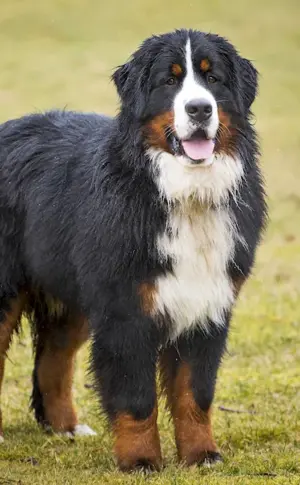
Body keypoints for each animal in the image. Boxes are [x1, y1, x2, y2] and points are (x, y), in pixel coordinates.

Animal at [0, 29, 268, 468]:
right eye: (169, 81)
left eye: (213, 78)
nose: (199, 108)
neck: (181, 193)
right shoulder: (125, 311)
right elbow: (136, 398)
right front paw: (141, 460)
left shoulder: (207, 307)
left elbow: (195, 394)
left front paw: (202, 455)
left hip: (72, 296)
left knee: (53, 361)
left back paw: (67, 428)